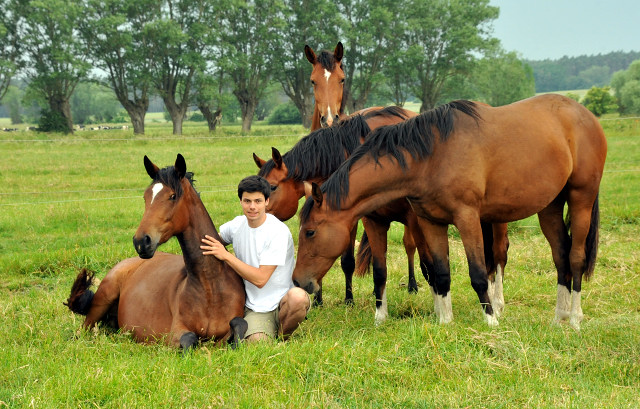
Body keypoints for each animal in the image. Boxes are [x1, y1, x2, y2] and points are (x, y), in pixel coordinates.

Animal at [296, 93, 604, 328]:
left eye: (310, 232)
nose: (298, 281)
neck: (431, 155)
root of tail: (584, 114)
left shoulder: (467, 219)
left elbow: (478, 273)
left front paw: (491, 321)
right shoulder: (430, 222)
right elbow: (440, 273)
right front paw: (445, 322)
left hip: (581, 199)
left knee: (575, 258)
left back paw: (574, 319)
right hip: (550, 207)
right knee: (560, 256)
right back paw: (558, 318)